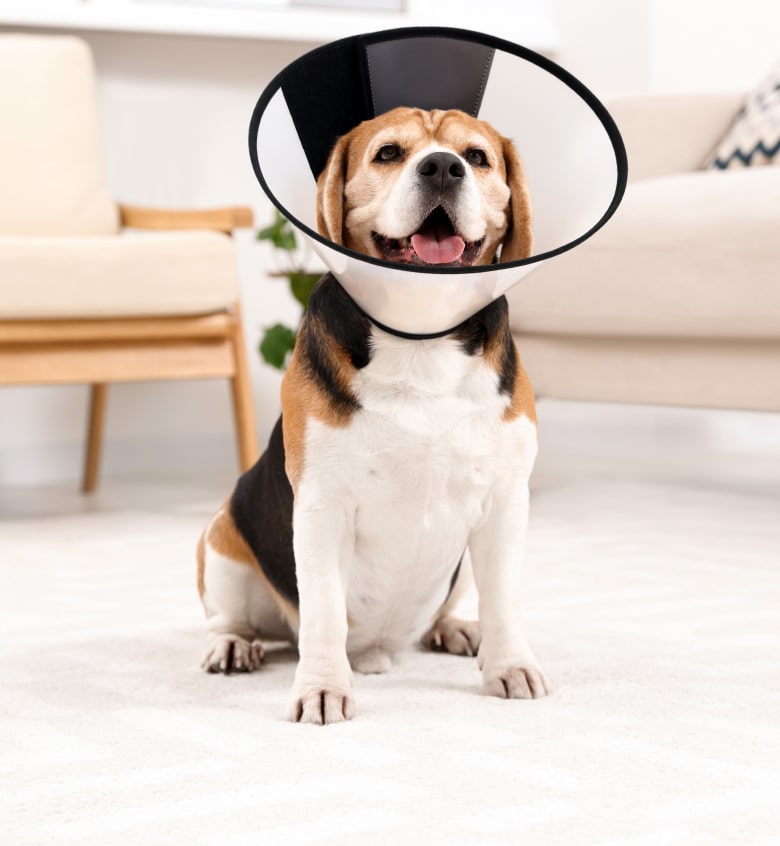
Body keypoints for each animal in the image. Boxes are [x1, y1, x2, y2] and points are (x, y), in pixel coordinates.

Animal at [195, 109, 548, 724]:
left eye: (476, 157)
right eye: (388, 153)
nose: (442, 167)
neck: (421, 336)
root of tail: (377, 650)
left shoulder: (506, 501)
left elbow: (503, 598)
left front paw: (508, 666)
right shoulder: (321, 507)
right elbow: (323, 612)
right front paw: (321, 688)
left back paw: (453, 629)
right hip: (222, 537)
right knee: (236, 616)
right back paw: (234, 644)